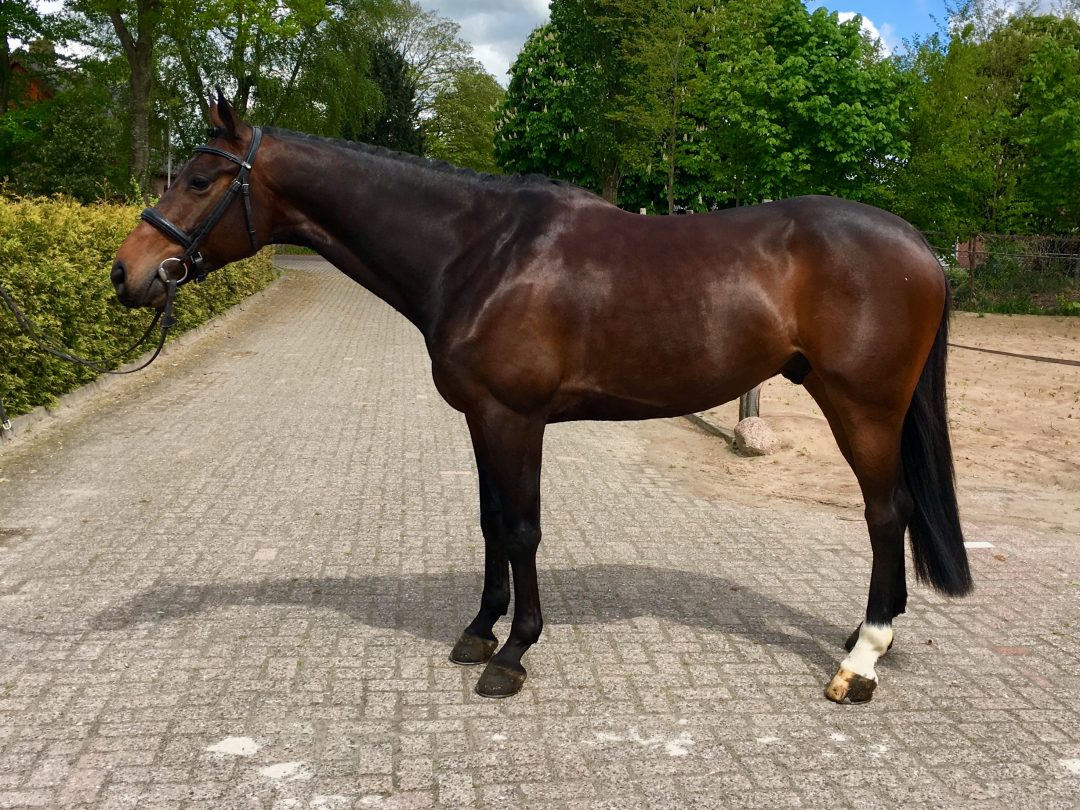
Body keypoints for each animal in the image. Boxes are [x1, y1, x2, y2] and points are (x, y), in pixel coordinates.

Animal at [112, 91, 972, 704]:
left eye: (198, 179)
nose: (126, 272)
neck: (481, 252)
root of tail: (921, 246)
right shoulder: (481, 419)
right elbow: (491, 522)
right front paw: (478, 632)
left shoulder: (515, 418)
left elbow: (522, 529)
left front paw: (515, 652)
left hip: (862, 406)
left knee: (885, 512)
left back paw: (861, 662)